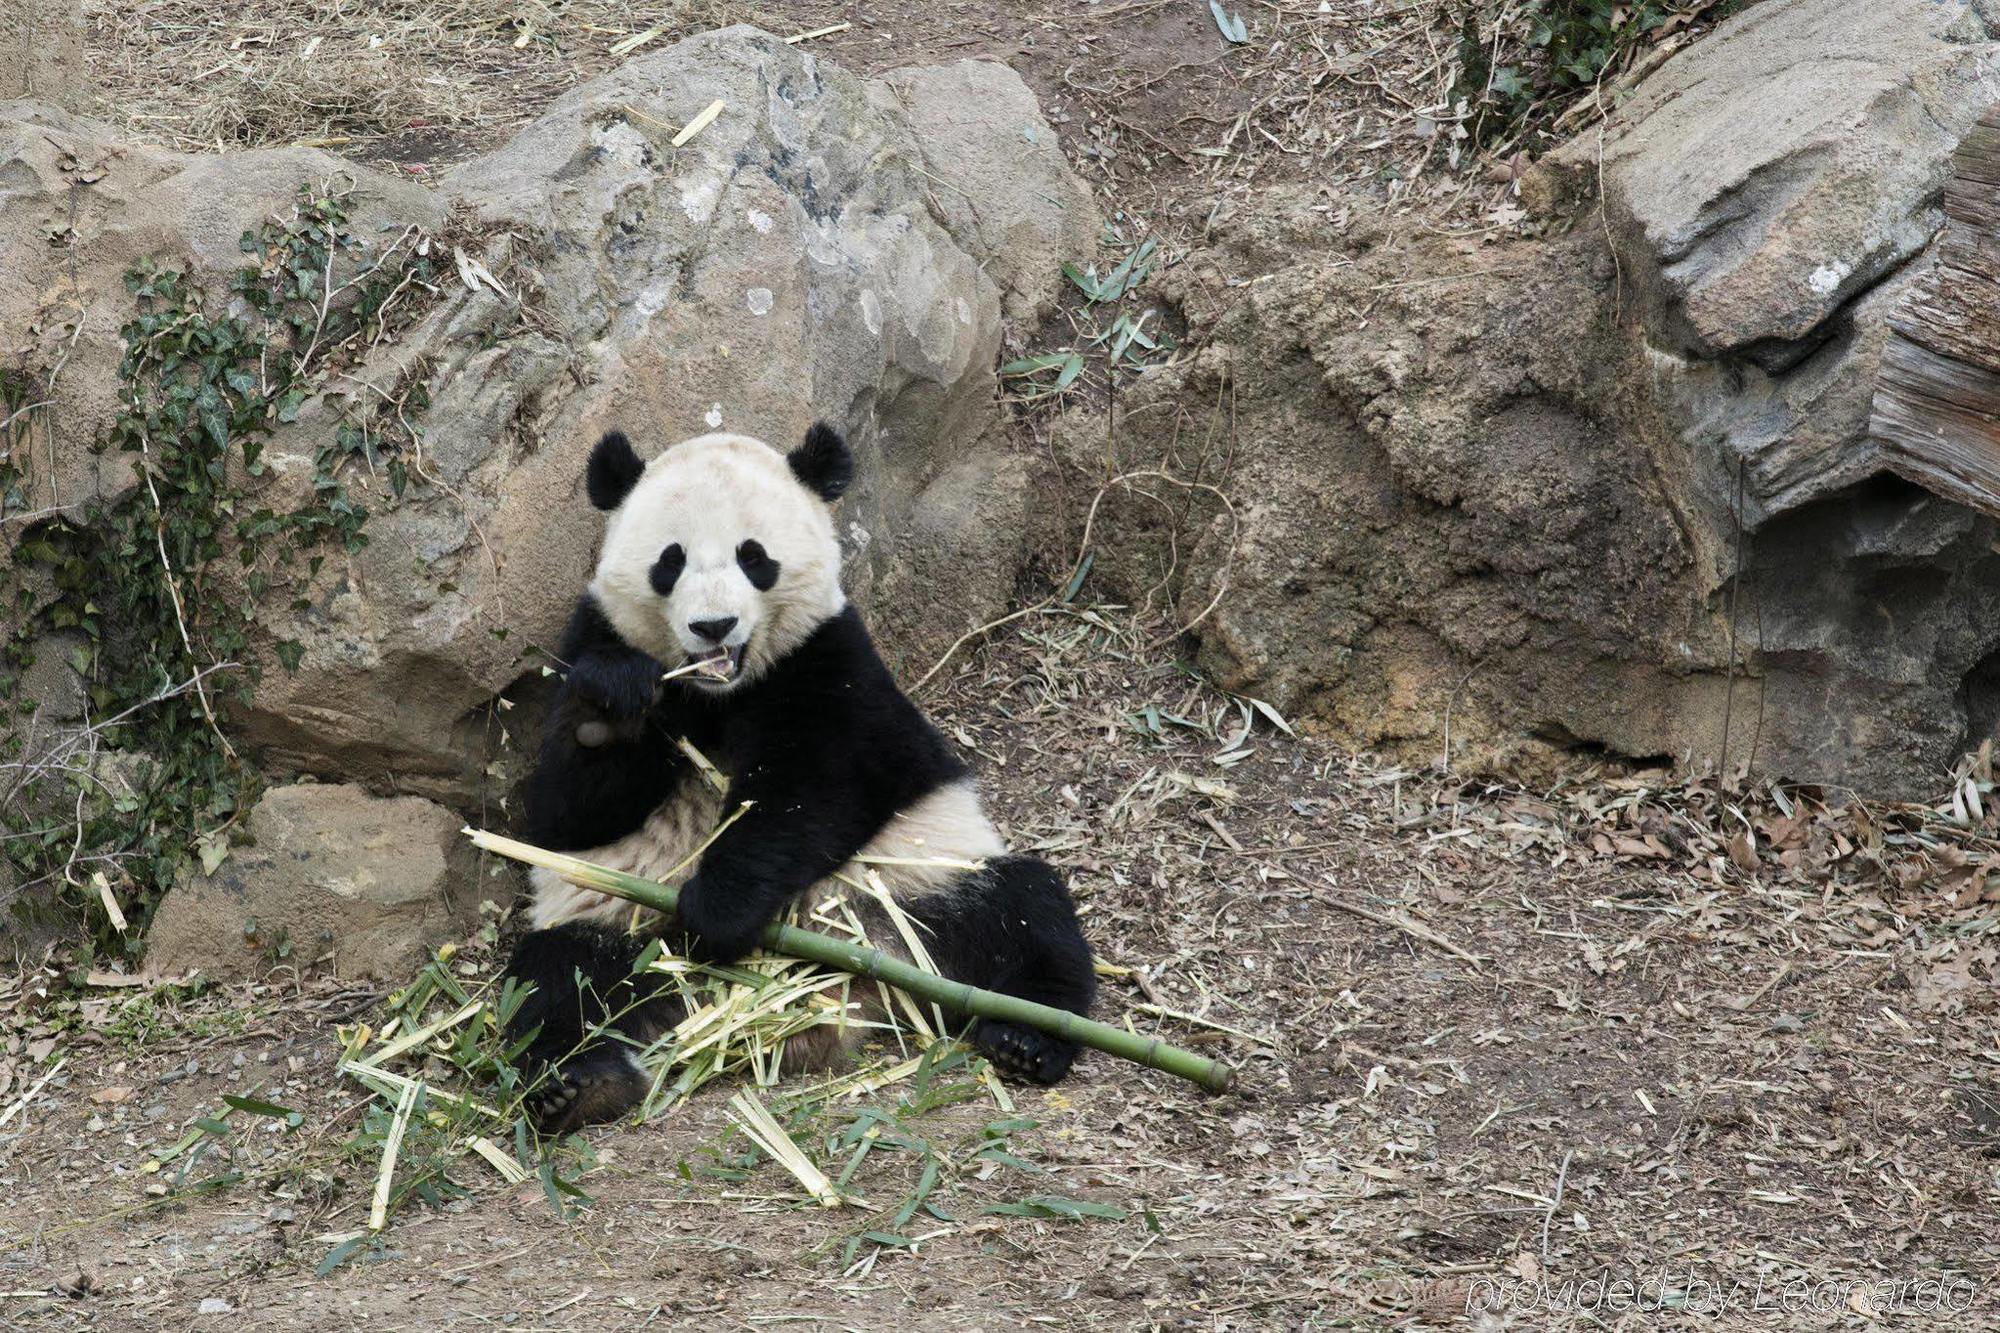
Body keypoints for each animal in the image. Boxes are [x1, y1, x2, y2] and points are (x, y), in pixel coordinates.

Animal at [500, 420, 1096, 1128]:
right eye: (670, 561)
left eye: (753, 557)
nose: (713, 626)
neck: (720, 694)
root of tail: (840, 1005)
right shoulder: (592, 638)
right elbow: (564, 814)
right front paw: (609, 710)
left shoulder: (833, 659)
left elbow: (820, 789)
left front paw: (715, 912)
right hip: (620, 923)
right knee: (558, 981)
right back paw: (580, 1086)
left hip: (914, 887)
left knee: (1026, 912)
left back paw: (1025, 1038)